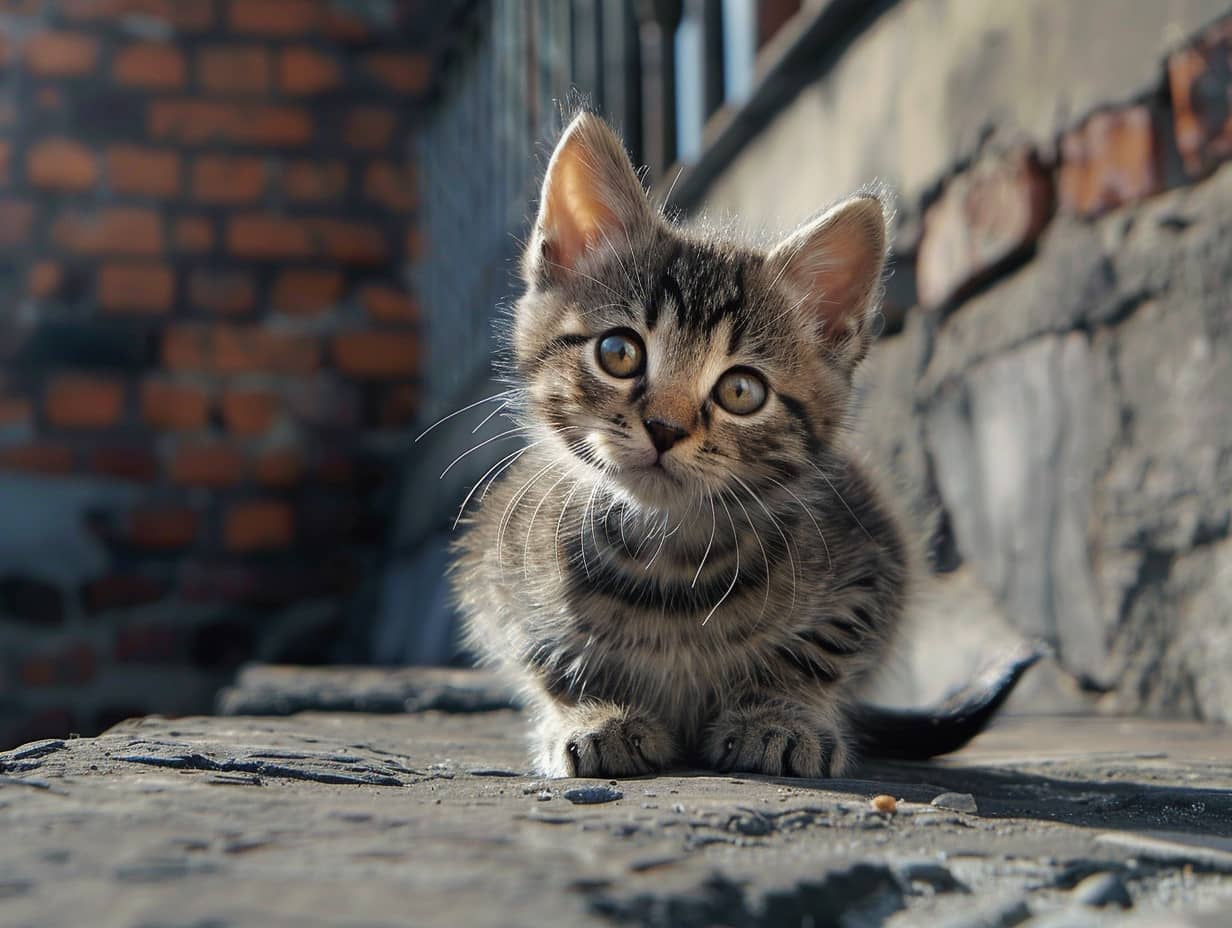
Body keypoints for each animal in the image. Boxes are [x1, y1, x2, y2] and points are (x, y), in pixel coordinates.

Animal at [453, 112, 1029, 778]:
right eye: (618, 352)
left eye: (740, 391)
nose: (665, 427)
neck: (669, 562)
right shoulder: (497, 573)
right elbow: (548, 659)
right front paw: (594, 714)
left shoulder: (874, 565)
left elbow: (817, 652)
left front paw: (778, 718)